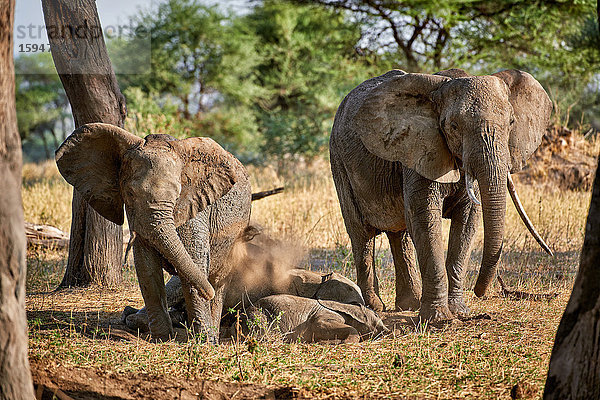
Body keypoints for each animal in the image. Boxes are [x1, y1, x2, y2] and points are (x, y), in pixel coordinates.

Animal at [56, 123, 251, 342]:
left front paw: (202, 341)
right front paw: (162, 338)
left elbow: (196, 261)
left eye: (177, 194)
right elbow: (146, 267)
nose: (207, 293)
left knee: (219, 278)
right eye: (130, 194)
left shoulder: (194, 207)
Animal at [245, 294, 390, 344]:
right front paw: (340, 342)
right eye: (377, 316)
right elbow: (319, 325)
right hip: (259, 317)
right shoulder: (323, 316)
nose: (388, 331)